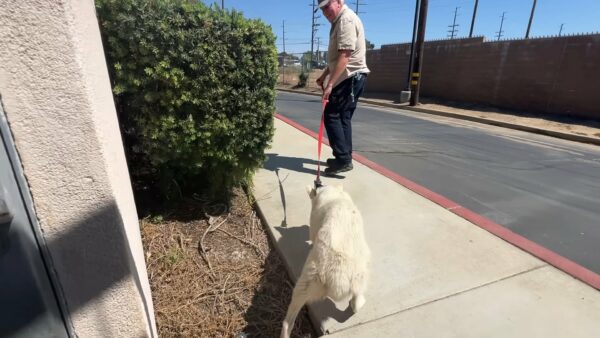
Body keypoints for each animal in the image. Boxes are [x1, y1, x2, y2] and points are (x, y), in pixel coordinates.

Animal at [282, 185, 370, 338]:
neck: (336, 194)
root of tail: (337, 276)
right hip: (359, 277)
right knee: (357, 302)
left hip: (309, 280)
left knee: (289, 318)